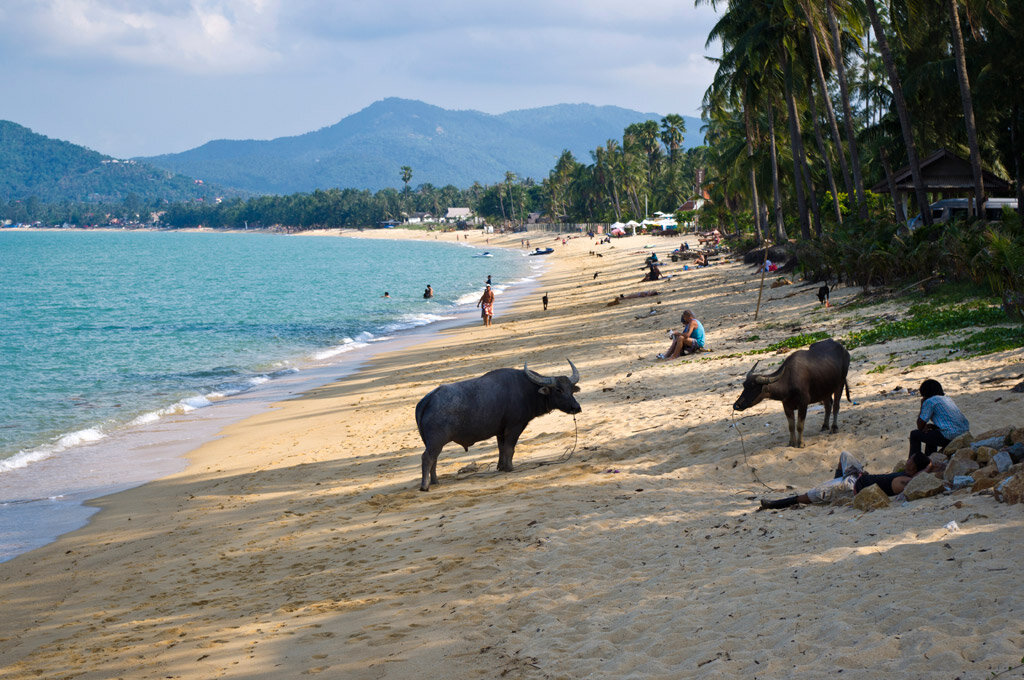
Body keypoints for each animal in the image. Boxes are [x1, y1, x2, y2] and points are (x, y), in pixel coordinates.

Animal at [413, 360, 581, 489]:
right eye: (558, 390)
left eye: (571, 389)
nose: (576, 407)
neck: (526, 390)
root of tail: (427, 400)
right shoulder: (514, 427)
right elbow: (510, 448)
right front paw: (510, 468)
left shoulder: (500, 431)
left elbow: (501, 448)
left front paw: (501, 467)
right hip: (436, 441)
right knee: (427, 457)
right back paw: (425, 486)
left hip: (431, 442)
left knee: (434, 459)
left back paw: (435, 481)